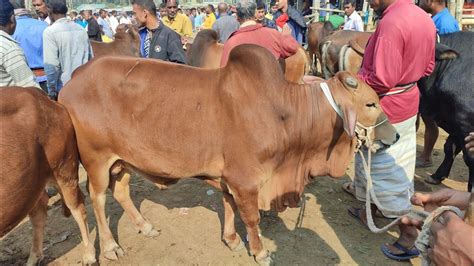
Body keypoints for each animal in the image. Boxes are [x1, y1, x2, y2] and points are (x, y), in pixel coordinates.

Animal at [0, 87, 96, 264]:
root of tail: (36, 92)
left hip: (64, 169)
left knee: (77, 207)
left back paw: (89, 254)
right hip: (30, 185)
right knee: (39, 212)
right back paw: (33, 259)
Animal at [59, 44, 398, 264]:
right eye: (370, 104)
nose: (393, 136)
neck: (283, 112)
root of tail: (73, 79)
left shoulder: (229, 178)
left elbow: (229, 207)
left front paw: (232, 240)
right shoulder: (245, 180)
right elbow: (250, 217)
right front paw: (260, 251)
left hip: (124, 160)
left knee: (122, 191)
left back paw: (145, 226)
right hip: (96, 160)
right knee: (98, 200)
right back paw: (109, 247)